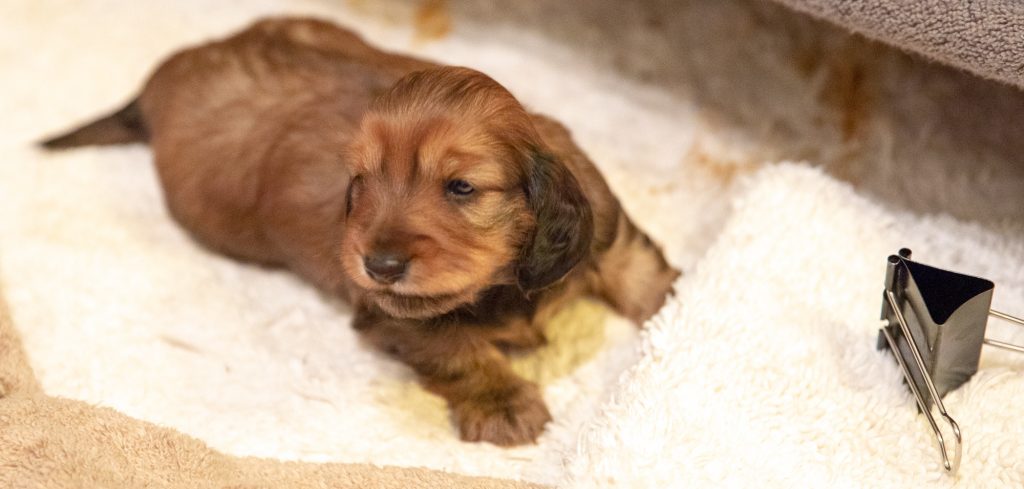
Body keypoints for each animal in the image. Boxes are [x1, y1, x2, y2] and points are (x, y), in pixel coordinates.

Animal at [41, 18, 679, 446]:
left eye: (461, 187)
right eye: (361, 181)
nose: (380, 266)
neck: (503, 285)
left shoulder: (604, 230)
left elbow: (639, 266)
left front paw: (678, 301)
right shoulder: (396, 317)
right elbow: (458, 350)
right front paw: (502, 403)